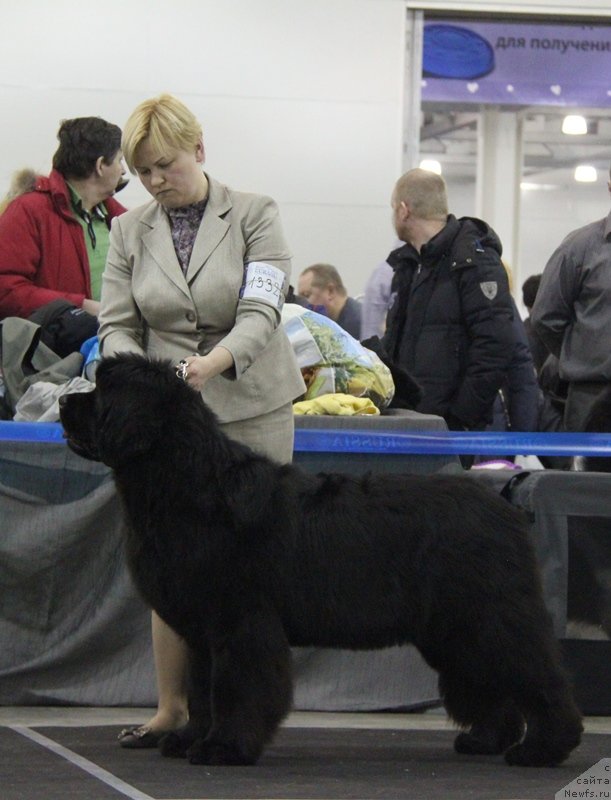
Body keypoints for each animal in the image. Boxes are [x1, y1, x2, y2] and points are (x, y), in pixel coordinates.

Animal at [61, 356, 584, 768]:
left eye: (102, 391)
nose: (66, 403)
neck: (188, 486)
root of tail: (507, 508)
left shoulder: (241, 621)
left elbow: (234, 689)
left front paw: (224, 748)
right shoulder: (203, 629)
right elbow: (202, 689)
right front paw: (189, 739)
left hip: (492, 616)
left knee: (538, 675)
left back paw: (543, 749)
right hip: (455, 629)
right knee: (488, 681)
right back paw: (486, 739)